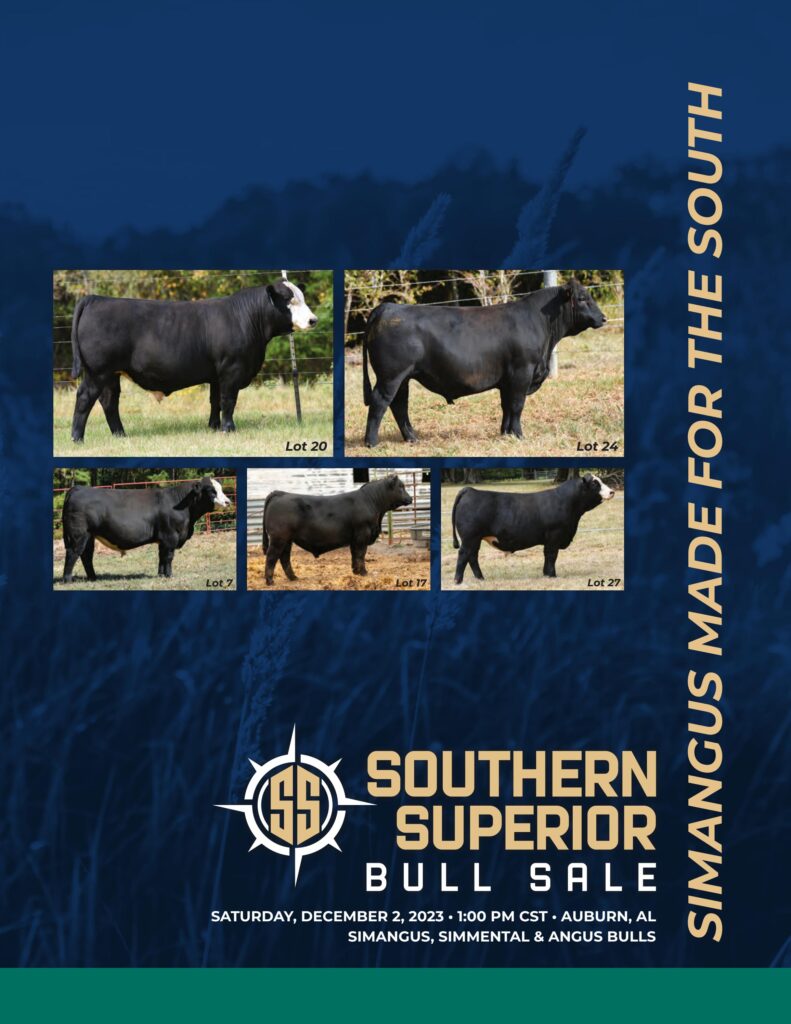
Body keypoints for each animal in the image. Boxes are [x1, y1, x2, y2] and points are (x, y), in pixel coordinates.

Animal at [60, 476, 232, 582]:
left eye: (221, 489)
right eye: (211, 491)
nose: (228, 502)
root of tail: (78, 488)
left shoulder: (163, 539)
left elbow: (161, 557)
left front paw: (161, 575)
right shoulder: (170, 536)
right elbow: (168, 557)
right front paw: (169, 576)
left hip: (89, 536)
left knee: (86, 556)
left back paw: (93, 578)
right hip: (79, 535)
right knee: (73, 553)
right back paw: (68, 579)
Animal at [69, 279, 317, 441]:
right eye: (289, 300)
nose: (313, 320)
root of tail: (95, 299)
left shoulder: (217, 375)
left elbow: (215, 401)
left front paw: (214, 427)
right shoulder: (232, 370)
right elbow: (229, 401)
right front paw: (229, 429)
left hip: (111, 374)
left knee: (109, 402)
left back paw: (121, 435)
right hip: (98, 371)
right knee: (85, 398)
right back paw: (77, 438)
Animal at [261, 474, 413, 585]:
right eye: (401, 487)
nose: (410, 498)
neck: (372, 503)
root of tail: (280, 493)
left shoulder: (354, 539)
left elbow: (354, 555)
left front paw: (356, 572)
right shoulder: (362, 534)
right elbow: (361, 554)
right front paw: (364, 573)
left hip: (287, 540)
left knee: (284, 557)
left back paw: (293, 578)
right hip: (279, 538)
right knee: (271, 557)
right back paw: (270, 581)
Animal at [362, 279, 606, 447]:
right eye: (582, 298)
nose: (603, 318)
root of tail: (389, 307)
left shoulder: (508, 379)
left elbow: (506, 406)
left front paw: (505, 433)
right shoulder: (522, 372)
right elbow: (517, 405)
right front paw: (519, 435)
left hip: (403, 377)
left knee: (399, 405)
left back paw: (412, 438)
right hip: (391, 376)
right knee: (380, 402)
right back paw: (371, 442)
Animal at [451, 474, 615, 584]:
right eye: (595, 484)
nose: (612, 491)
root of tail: (470, 490)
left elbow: (547, 555)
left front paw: (546, 574)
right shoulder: (555, 535)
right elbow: (551, 555)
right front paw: (552, 575)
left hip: (474, 539)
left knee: (472, 556)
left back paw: (480, 578)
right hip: (470, 537)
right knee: (464, 555)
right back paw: (458, 581)